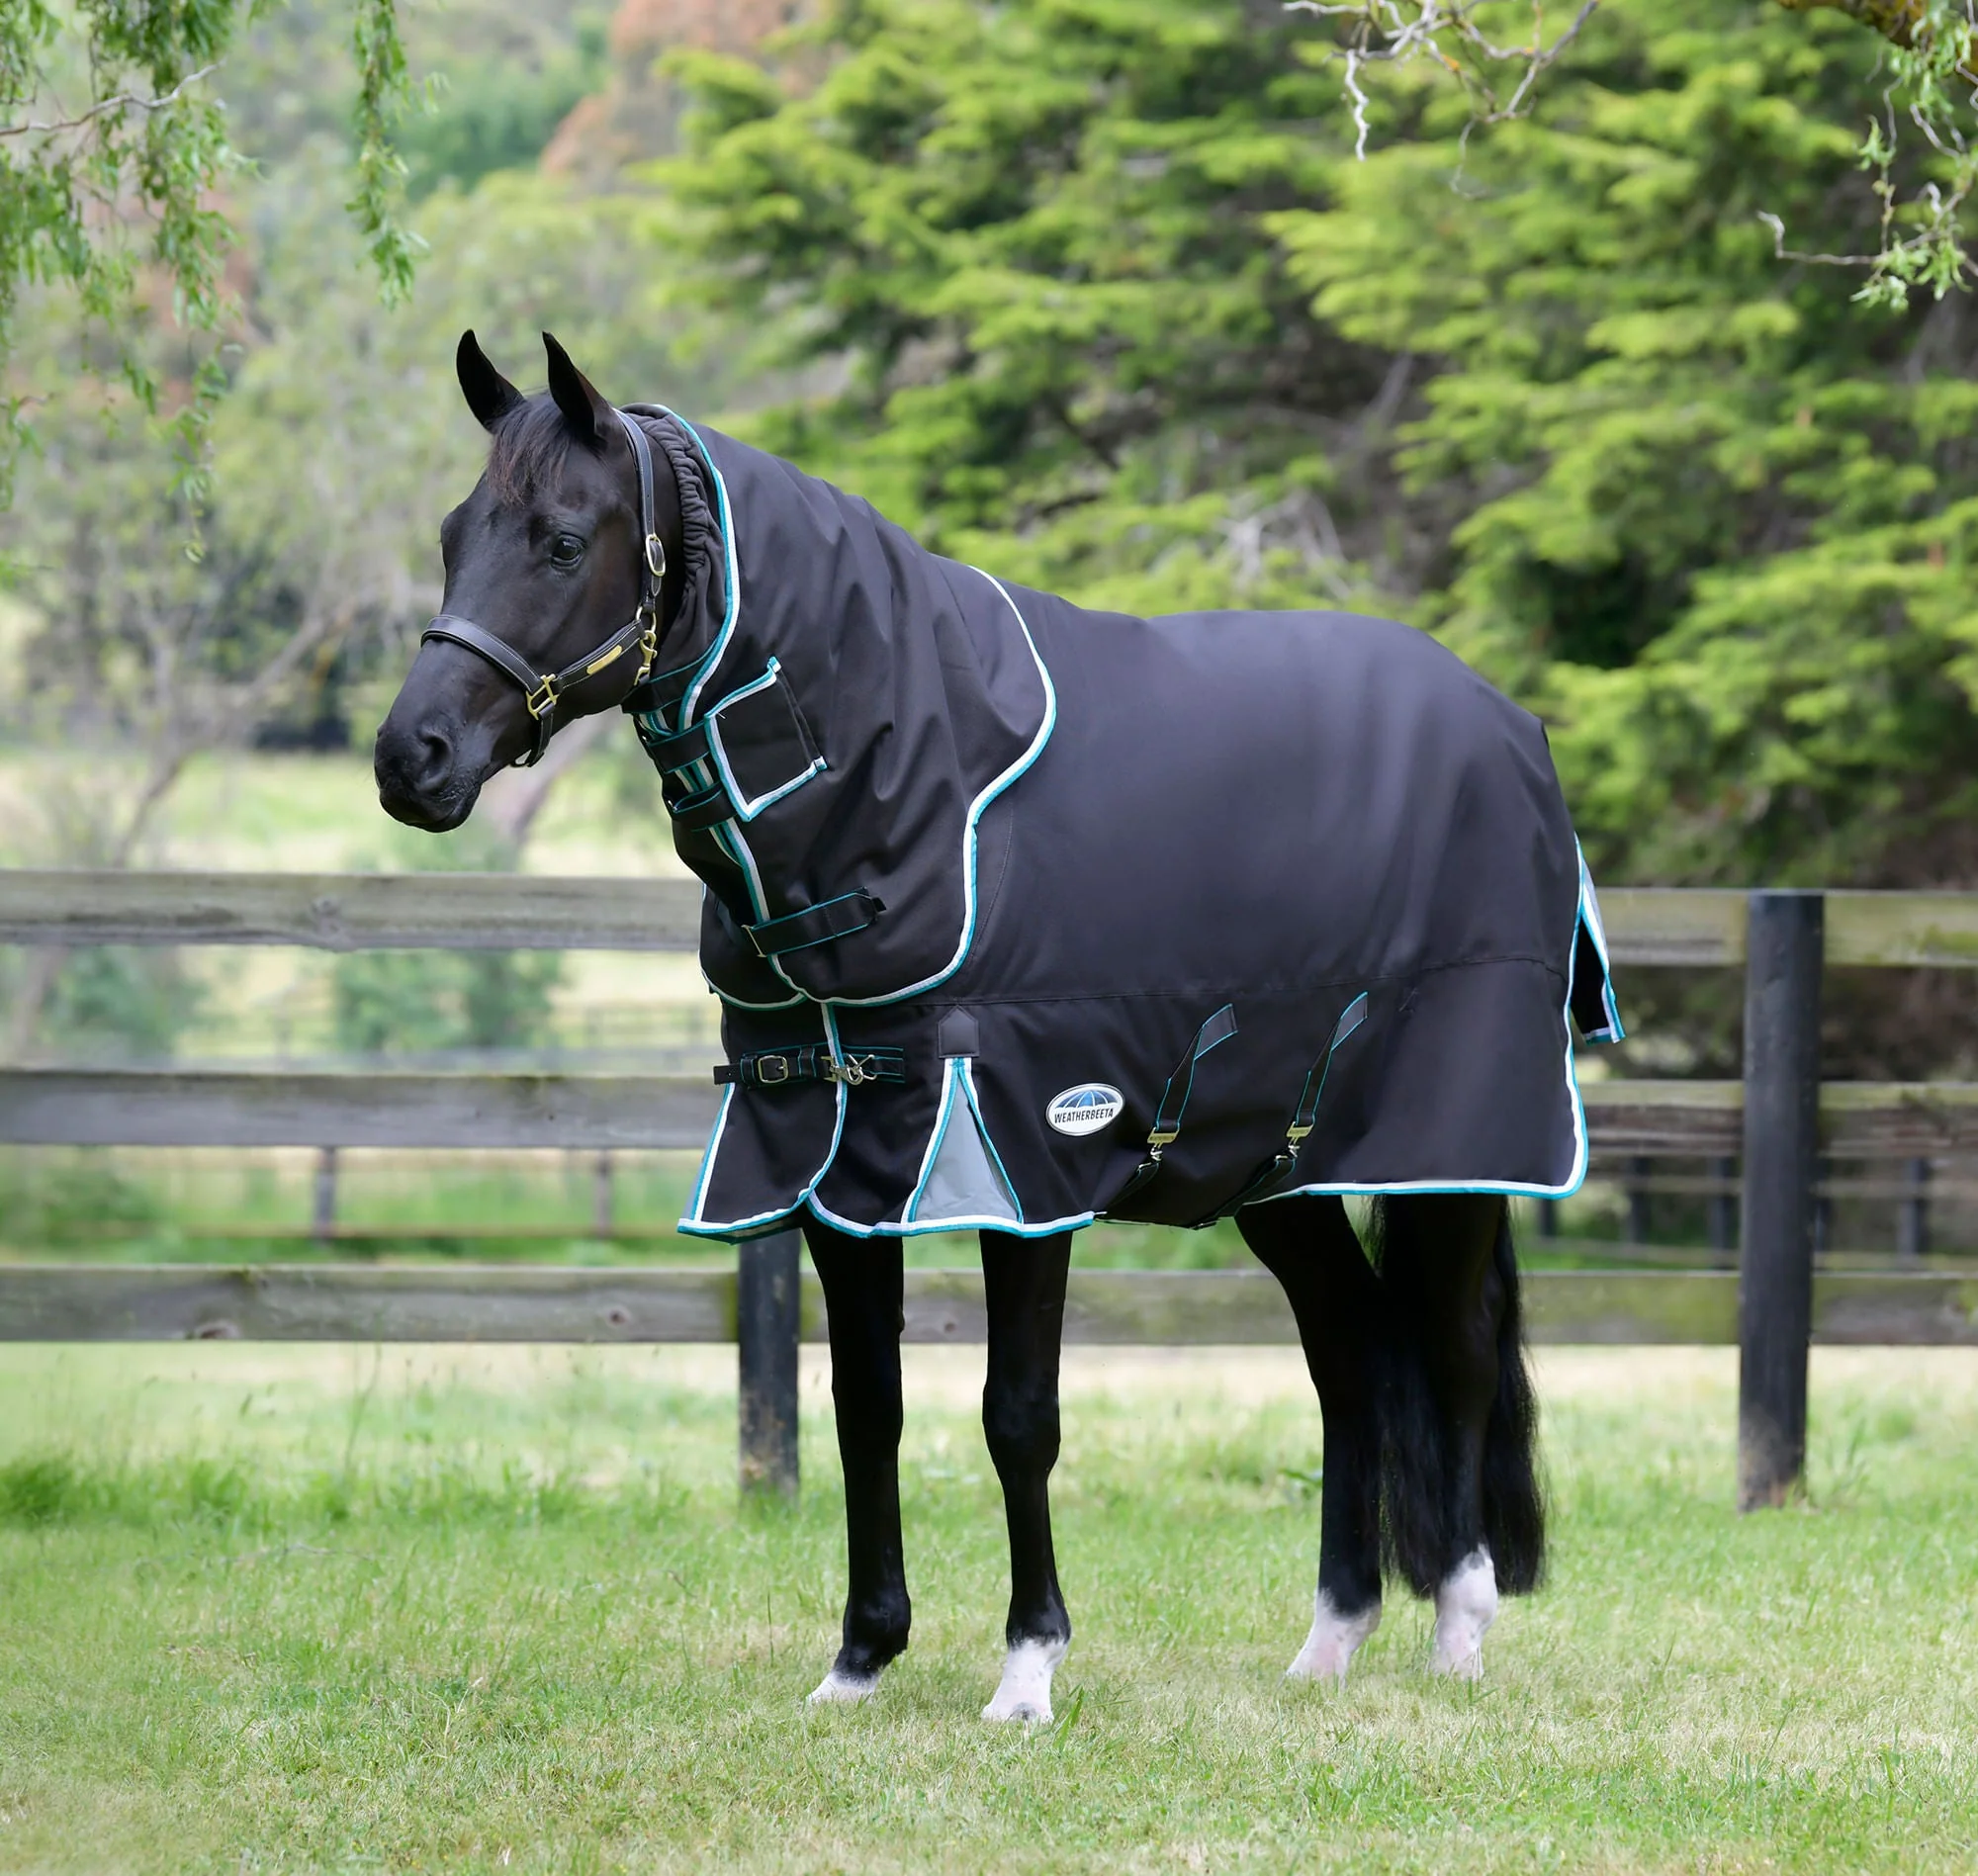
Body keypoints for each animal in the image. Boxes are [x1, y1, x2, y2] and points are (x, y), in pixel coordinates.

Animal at [374, 330, 1622, 1721]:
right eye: (453, 534)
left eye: (558, 538)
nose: (410, 757)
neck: (922, 779)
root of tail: (1506, 726)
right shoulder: (832, 1153)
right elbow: (866, 1406)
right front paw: (859, 1660)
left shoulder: (1028, 1149)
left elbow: (1016, 1413)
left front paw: (1027, 1668)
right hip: (1272, 1169)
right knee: (1349, 1351)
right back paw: (1328, 1642)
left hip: (1451, 1149)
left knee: (1452, 1354)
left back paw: (1457, 1630)